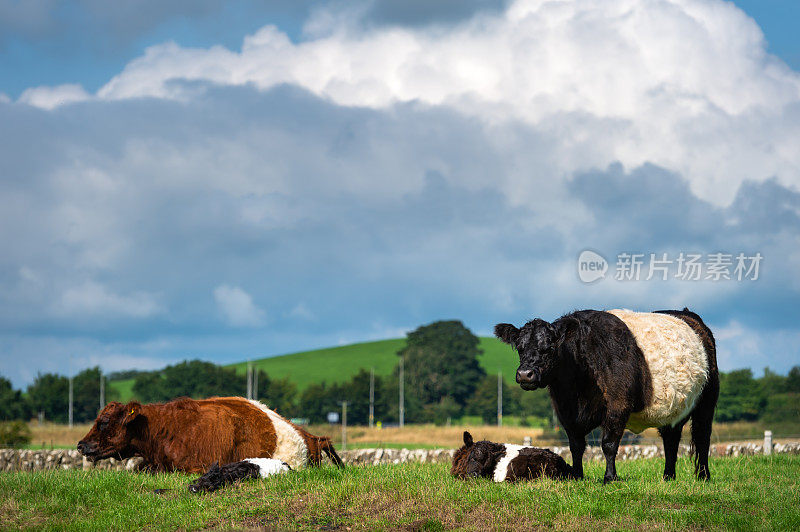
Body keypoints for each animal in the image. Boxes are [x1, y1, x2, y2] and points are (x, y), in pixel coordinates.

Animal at [496, 306, 720, 484]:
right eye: (519, 347)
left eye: (549, 347)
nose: (525, 374)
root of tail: (687, 314)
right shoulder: (566, 412)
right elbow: (576, 446)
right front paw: (577, 476)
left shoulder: (618, 405)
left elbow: (609, 444)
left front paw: (609, 478)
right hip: (674, 409)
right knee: (671, 440)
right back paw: (668, 477)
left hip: (707, 402)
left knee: (702, 437)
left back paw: (703, 476)